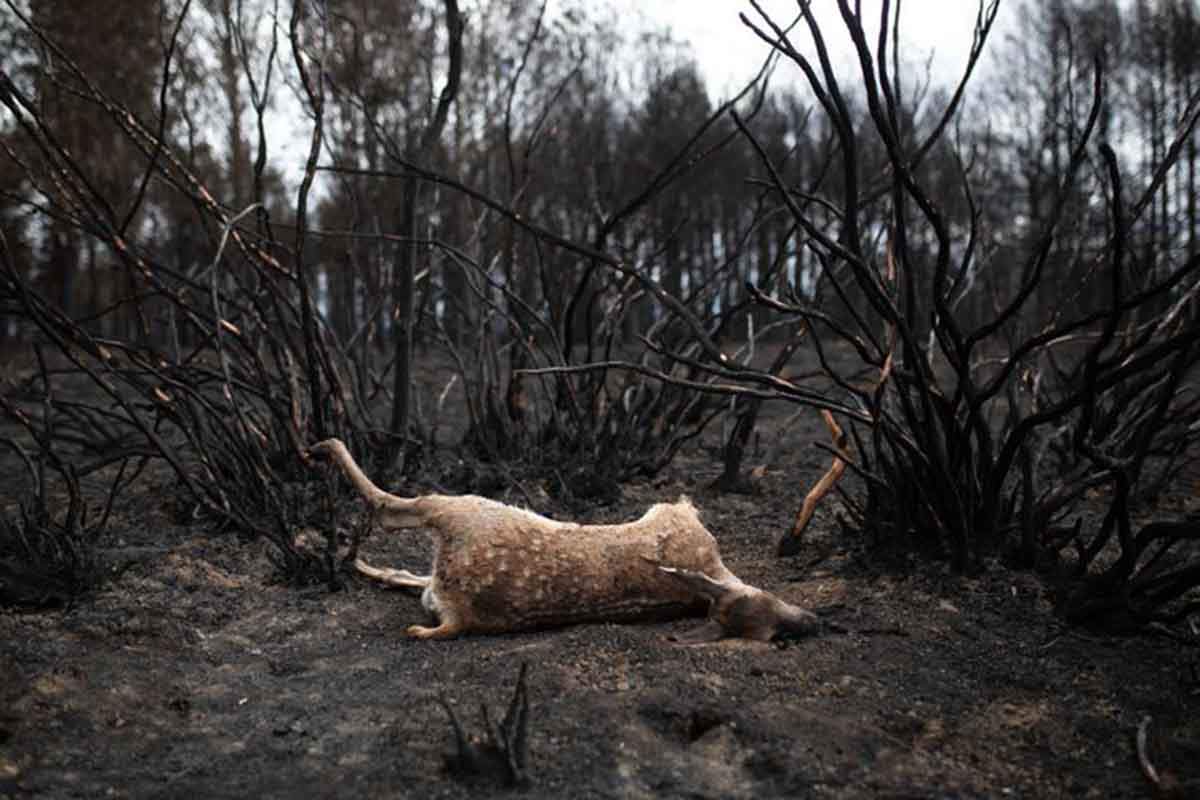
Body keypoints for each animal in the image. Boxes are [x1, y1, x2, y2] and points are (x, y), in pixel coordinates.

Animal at [309, 438, 820, 642]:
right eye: (773, 625)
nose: (814, 622)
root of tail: (459, 615)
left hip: (465, 508)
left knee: (390, 508)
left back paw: (322, 452)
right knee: (407, 561)